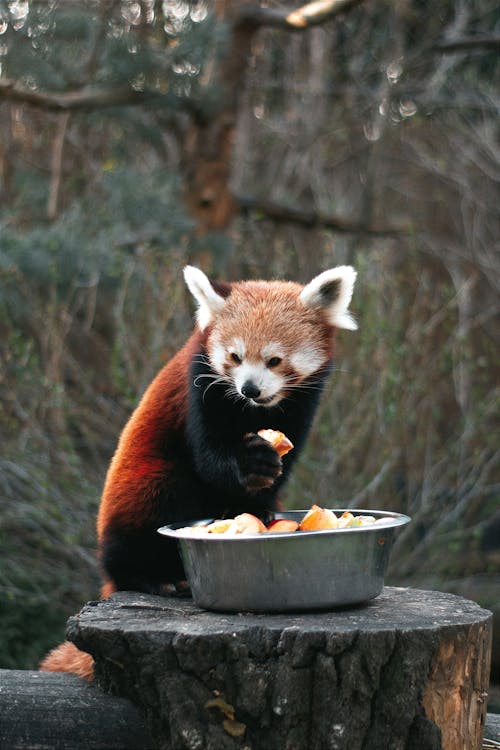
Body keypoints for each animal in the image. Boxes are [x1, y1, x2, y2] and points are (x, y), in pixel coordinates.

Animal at [41, 266, 358, 680]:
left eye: (274, 360)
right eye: (235, 356)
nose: (250, 389)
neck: (254, 411)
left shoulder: (302, 403)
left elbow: (283, 460)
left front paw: (259, 499)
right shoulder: (202, 387)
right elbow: (210, 457)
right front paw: (251, 463)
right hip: (146, 485)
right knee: (155, 504)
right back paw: (151, 578)